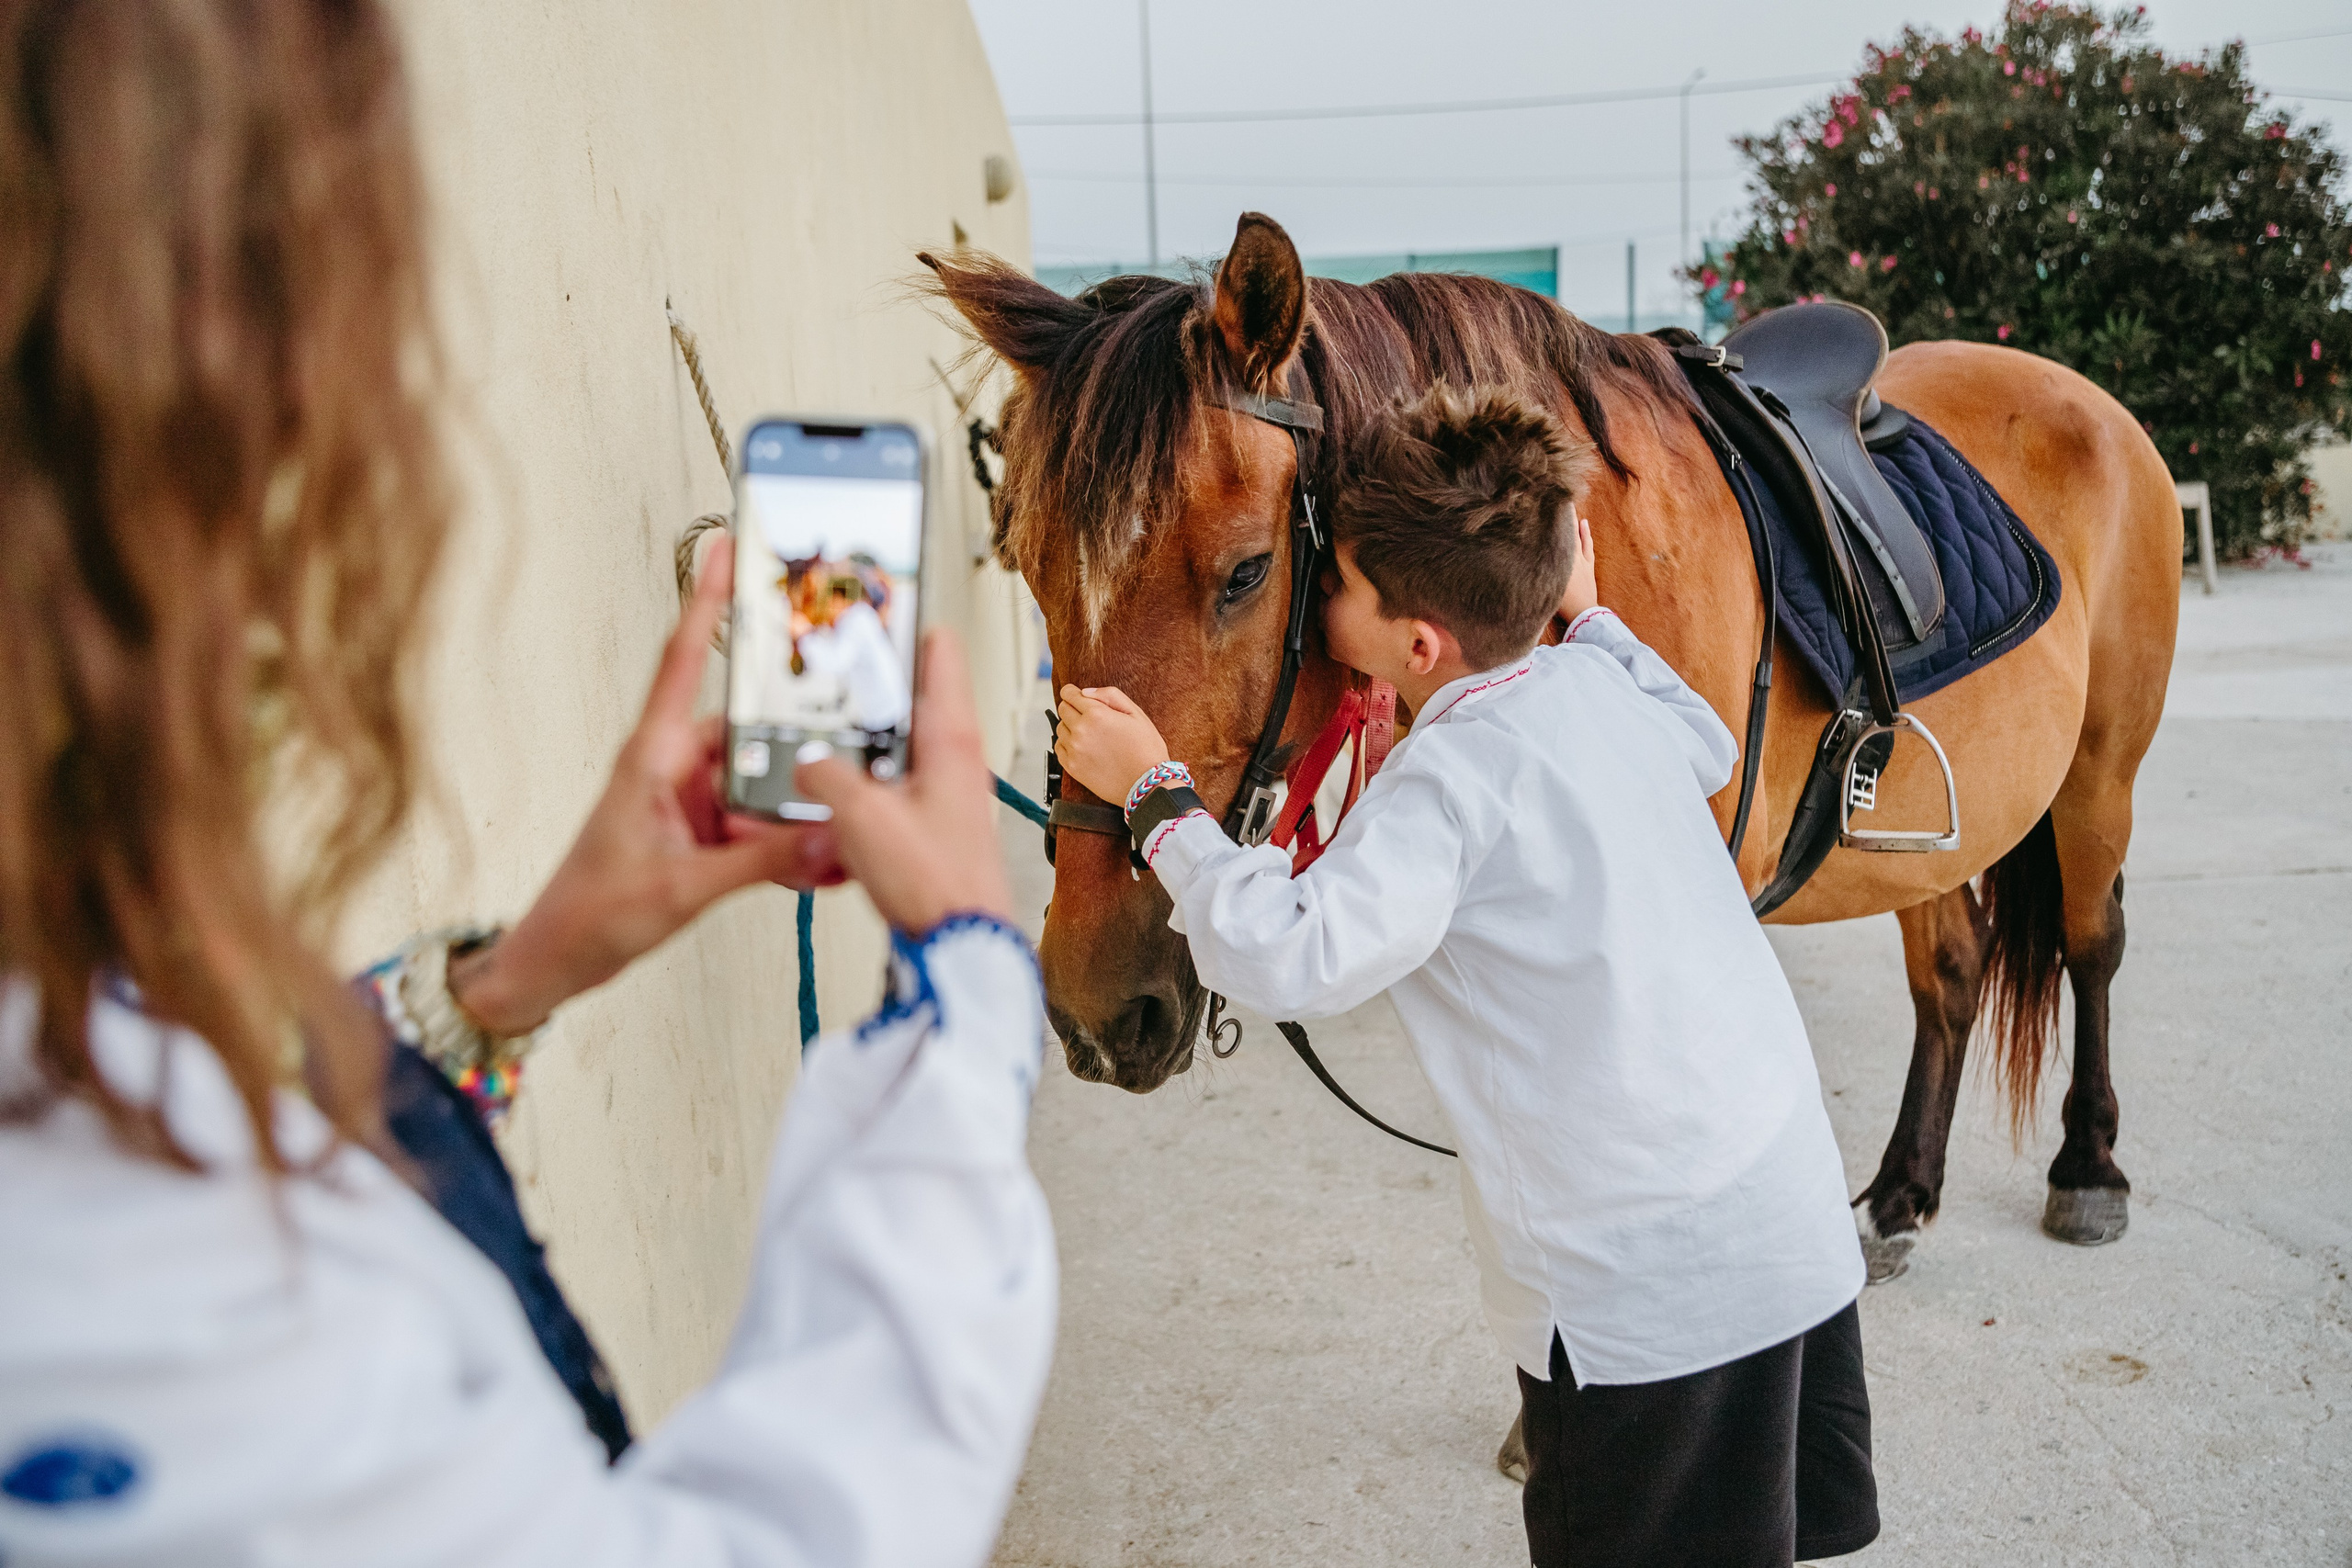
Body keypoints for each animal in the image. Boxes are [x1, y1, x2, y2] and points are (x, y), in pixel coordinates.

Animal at [923, 210, 2179, 1301]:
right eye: (1029, 570)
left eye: (1244, 572)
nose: (1096, 1011)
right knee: (1953, 973)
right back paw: (1901, 1195)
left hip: (2097, 780)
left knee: (2093, 942)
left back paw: (2089, 1169)